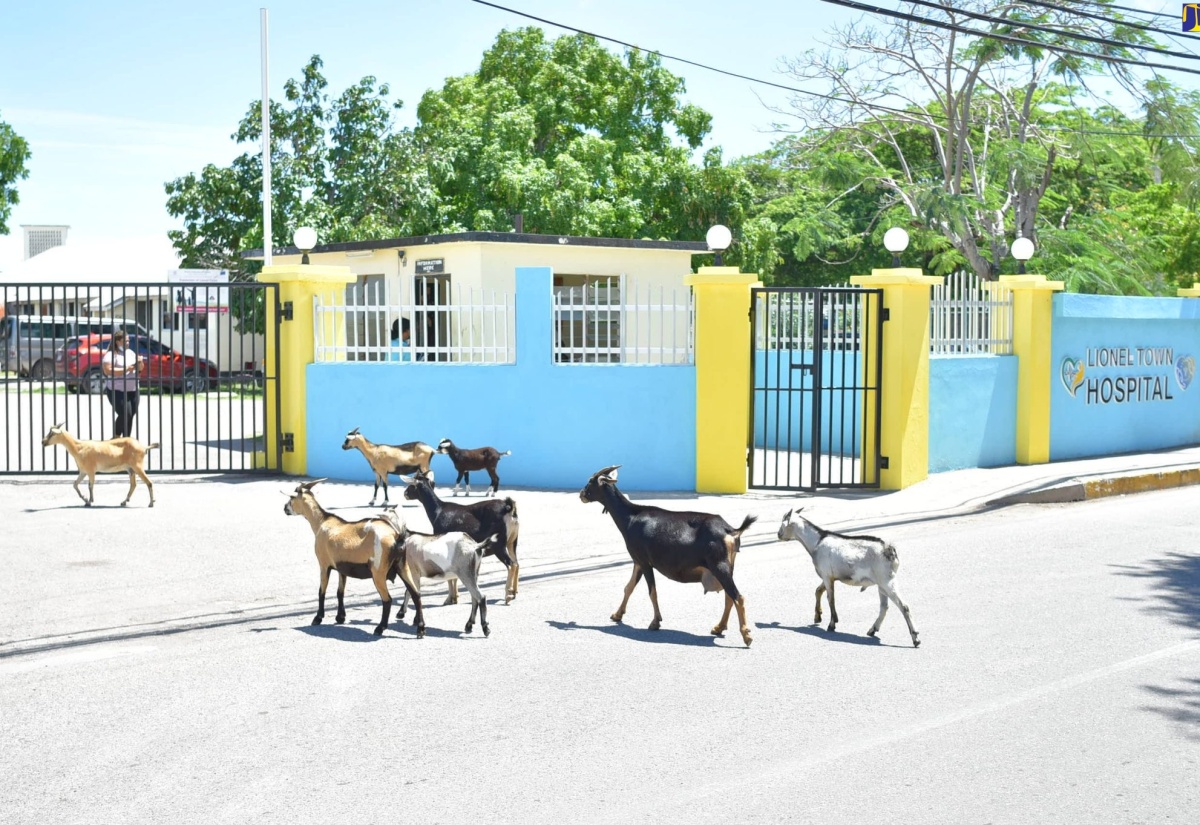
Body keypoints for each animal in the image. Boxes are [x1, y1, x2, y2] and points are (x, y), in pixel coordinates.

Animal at [282, 477, 422, 637]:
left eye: (291, 498)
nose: (285, 508)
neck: (322, 522)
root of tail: (396, 536)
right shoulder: (342, 568)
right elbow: (340, 592)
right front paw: (340, 617)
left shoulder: (324, 564)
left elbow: (322, 591)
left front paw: (318, 618)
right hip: (402, 566)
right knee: (416, 594)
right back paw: (420, 629)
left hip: (378, 572)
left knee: (387, 599)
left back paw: (380, 628)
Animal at [580, 465, 758, 642]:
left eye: (591, 481)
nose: (581, 494)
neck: (631, 517)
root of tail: (730, 530)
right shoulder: (637, 561)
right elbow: (628, 587)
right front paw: (617, 615)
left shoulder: (644, 561)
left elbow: (652, 592)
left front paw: (655, 622)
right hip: (727, 566)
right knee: (729, 596)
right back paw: (719, 627)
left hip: (719, 565)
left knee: (737, 596)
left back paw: (746, 635)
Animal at [777, 506, 916, 647]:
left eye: (783, 521)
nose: (778, 534)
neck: (817, 542)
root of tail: (890, 550)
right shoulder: (829, 576)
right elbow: (818, 591)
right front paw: (818, 616)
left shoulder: (826, 575)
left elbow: (830, 598)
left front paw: (832, 624)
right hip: (882, 584)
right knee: (884, 607)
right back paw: (872, 630)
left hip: (886, 581)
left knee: (904, 606)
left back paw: (915, 638)